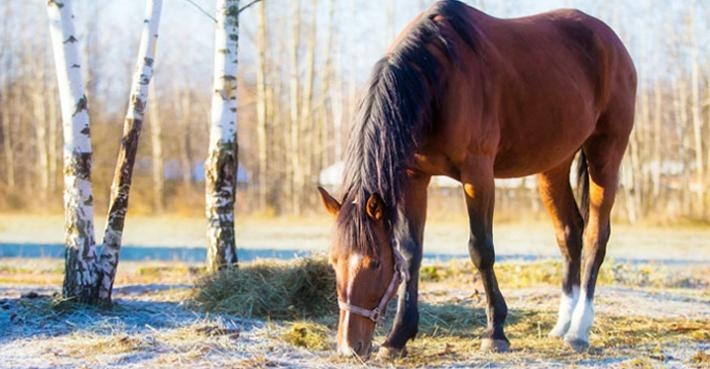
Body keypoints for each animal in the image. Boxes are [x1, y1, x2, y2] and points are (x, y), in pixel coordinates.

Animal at [320, 0, 636, 358]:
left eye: (373, 263)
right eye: (333, 262)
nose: (349, 346)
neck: (436, 78)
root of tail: (610, 40)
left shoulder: (478, 175)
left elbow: (481, 249)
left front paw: (495, 332)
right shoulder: (415, 177)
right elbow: (410, 252)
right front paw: (397, 337)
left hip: (606, 153)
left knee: (596, 235)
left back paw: (579, 330)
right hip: (554, 165)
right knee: (570, 233)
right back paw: (562, 325)